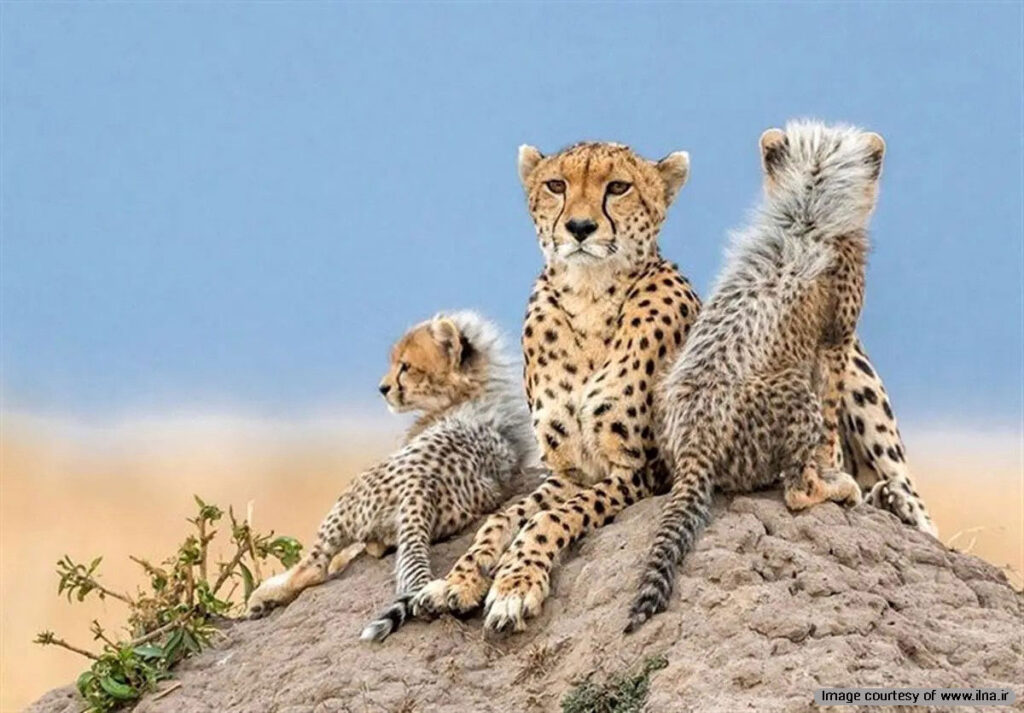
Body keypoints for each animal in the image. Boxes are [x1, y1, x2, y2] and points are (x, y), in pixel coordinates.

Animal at [246, 309, 536, 643]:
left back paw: (264, 595)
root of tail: (422, 486)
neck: (475, 389)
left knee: (315, 566)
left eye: (405, 366)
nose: (383, 388)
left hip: (348, 498)